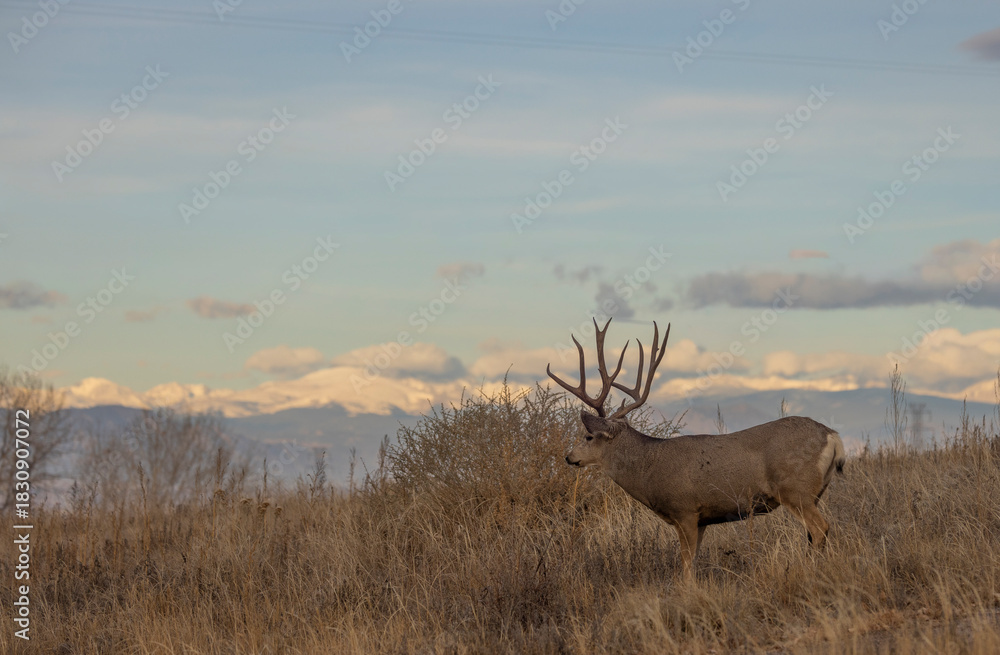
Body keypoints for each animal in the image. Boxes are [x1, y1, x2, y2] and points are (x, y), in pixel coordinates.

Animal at [548, 318, 845, 578]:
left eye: (588, 436)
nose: (568, 457)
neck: (649, 468)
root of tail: (833, 436)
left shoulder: (686, 511)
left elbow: (686, 565)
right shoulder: (702, 520)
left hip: (795, 489)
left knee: (821, 528)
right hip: (815, 492)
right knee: (815, 533)